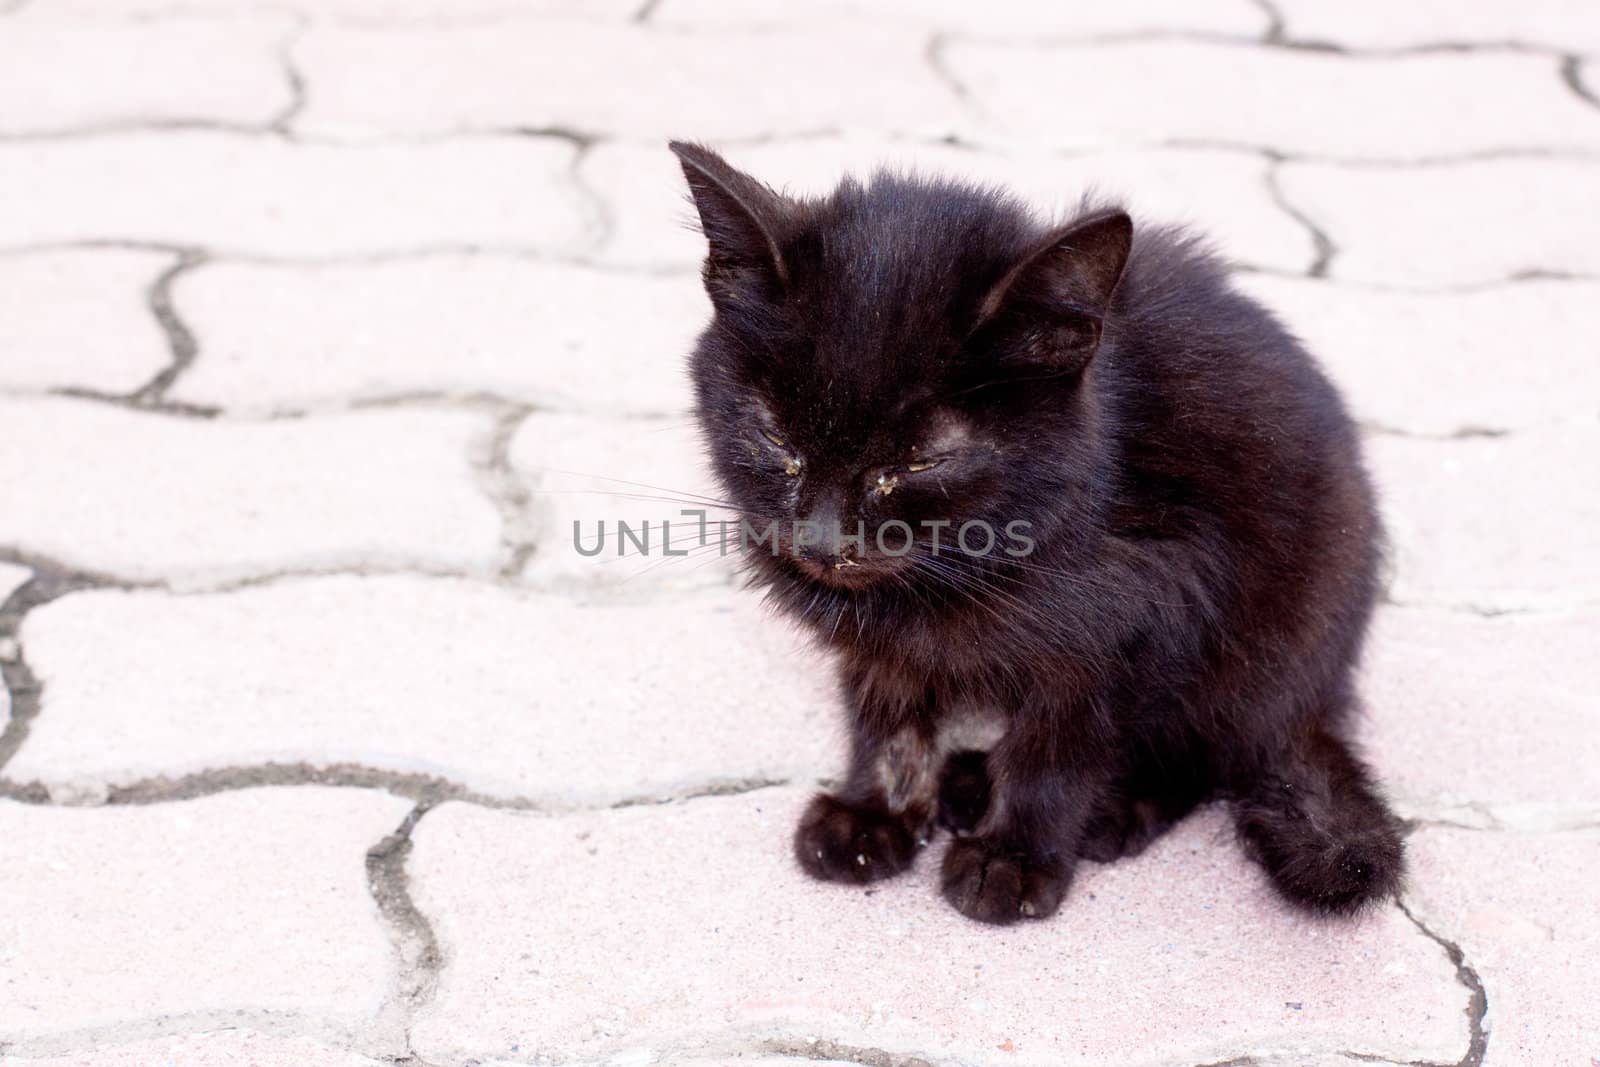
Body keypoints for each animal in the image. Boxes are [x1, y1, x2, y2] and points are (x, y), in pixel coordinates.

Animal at [672, 143, 1401, 927]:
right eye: (777, 439)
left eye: (920, 461)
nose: (820, 541)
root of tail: (1323, 692)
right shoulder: (883, 646)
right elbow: (889, 713)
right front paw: (875, 815)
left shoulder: (1145, 610)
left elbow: (1059, 749)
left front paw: (1013, 857)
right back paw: (967, 779)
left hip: (1274, 634)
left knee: (1217, 747)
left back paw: (1113, 809)